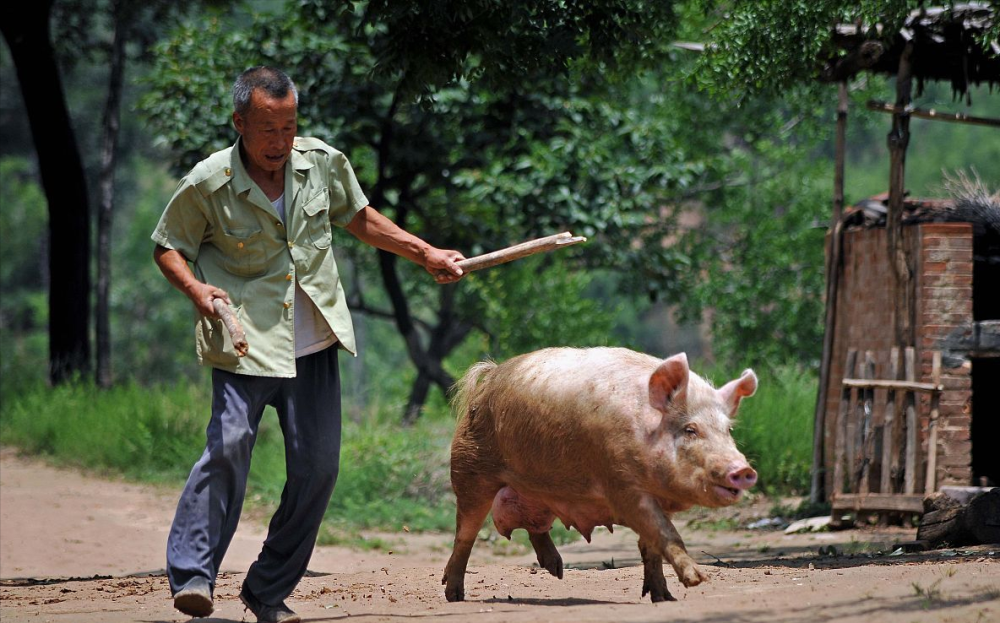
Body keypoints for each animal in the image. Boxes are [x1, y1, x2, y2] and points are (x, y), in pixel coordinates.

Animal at [442, 348, 752, 604]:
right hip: (469, 468)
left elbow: (652, 544)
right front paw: (697, 580)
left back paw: (557, 570)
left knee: (534, 525)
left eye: (728, 430)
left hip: (538, 491)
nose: (744, 470)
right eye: (690, 430)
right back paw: (454, 596)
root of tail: (491, 374)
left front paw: (665, 598)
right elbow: (665, 533)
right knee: (465, 533)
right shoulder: (621, 484)